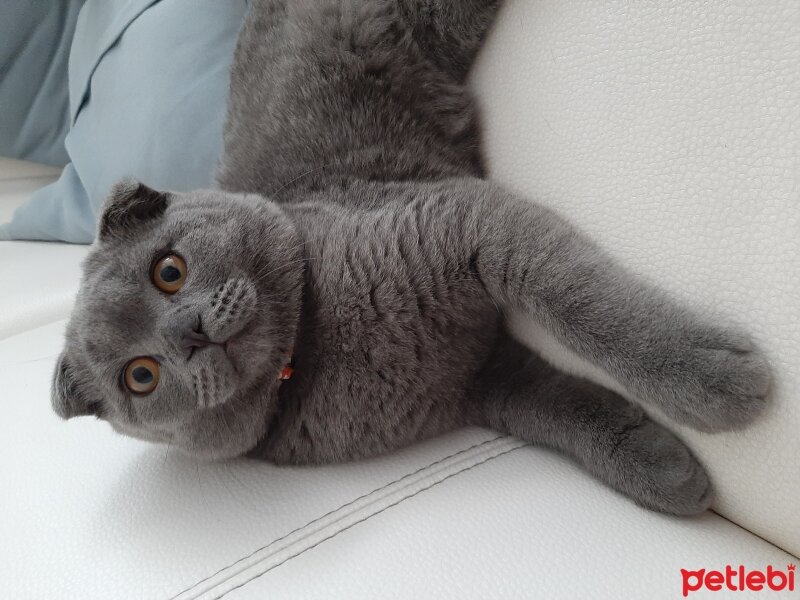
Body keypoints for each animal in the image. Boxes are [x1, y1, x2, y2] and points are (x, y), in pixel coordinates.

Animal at [50, 0, 768, 516]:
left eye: (168, 271)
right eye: (140, 377)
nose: (189, 333)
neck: (311, 348)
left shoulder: (466, 219)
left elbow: (583, 305)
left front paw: (715, 383)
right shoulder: (479, 380)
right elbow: (557, 409)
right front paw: (662, 467)